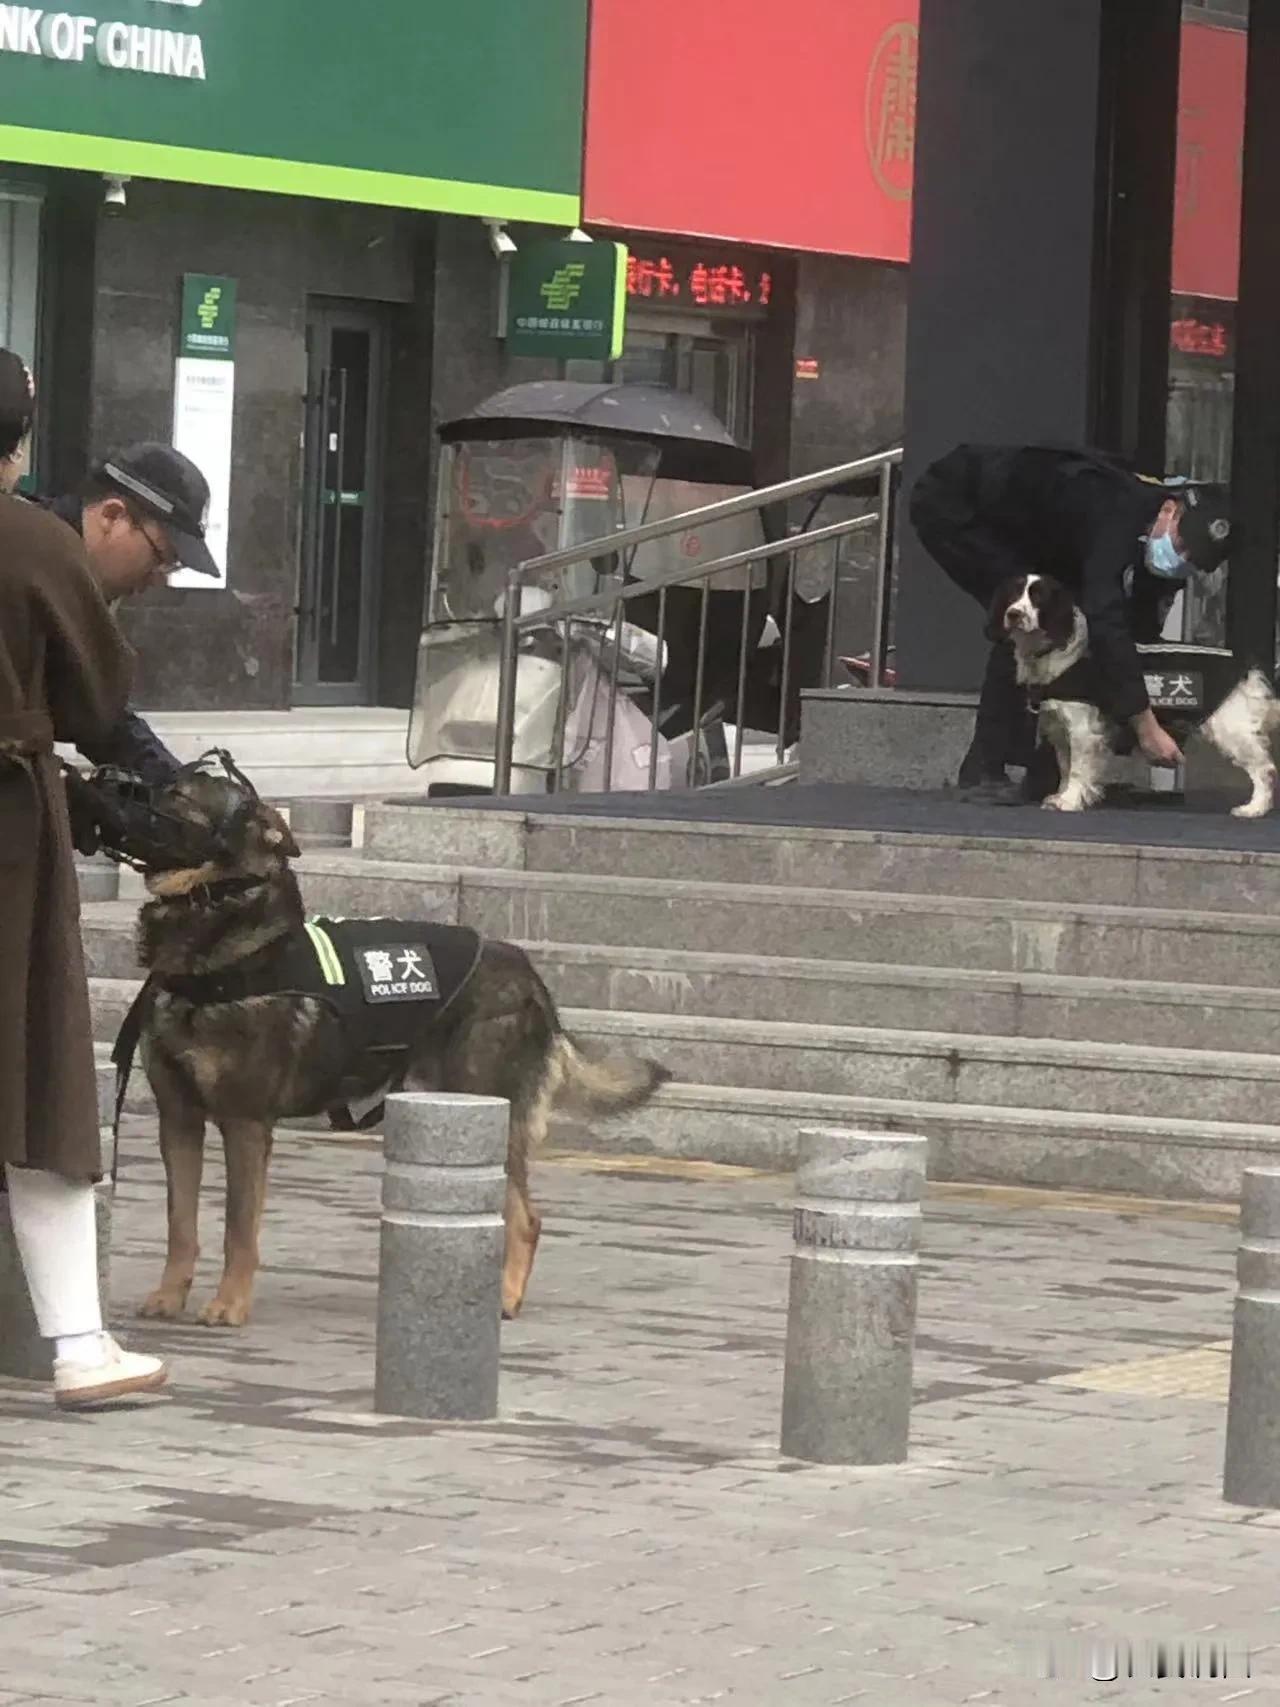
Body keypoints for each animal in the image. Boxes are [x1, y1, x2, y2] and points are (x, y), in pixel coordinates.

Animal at [122, 764, 672, 1331]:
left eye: (179, 796)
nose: (118, 787)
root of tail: (533, 982)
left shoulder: (245, 1124)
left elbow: (237, 1229)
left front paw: (229, 1305)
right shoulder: (178, 1120)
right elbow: (180, 1226)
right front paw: (168, 1296)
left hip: (485, 1109)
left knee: (526, 1219)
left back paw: (503, 1299)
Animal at [989, 576, 1276, 815]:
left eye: (1039, 597)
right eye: (1013, 594)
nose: (1013, 614)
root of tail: (1250, 669)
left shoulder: (1082, 729)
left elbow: (1078, 769)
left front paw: (1070, 801)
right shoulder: (1059, 727)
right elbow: (1065, 766)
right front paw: (1063, 796)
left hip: (1230, 727)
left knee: (1265, 769)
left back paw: (1254, 809)